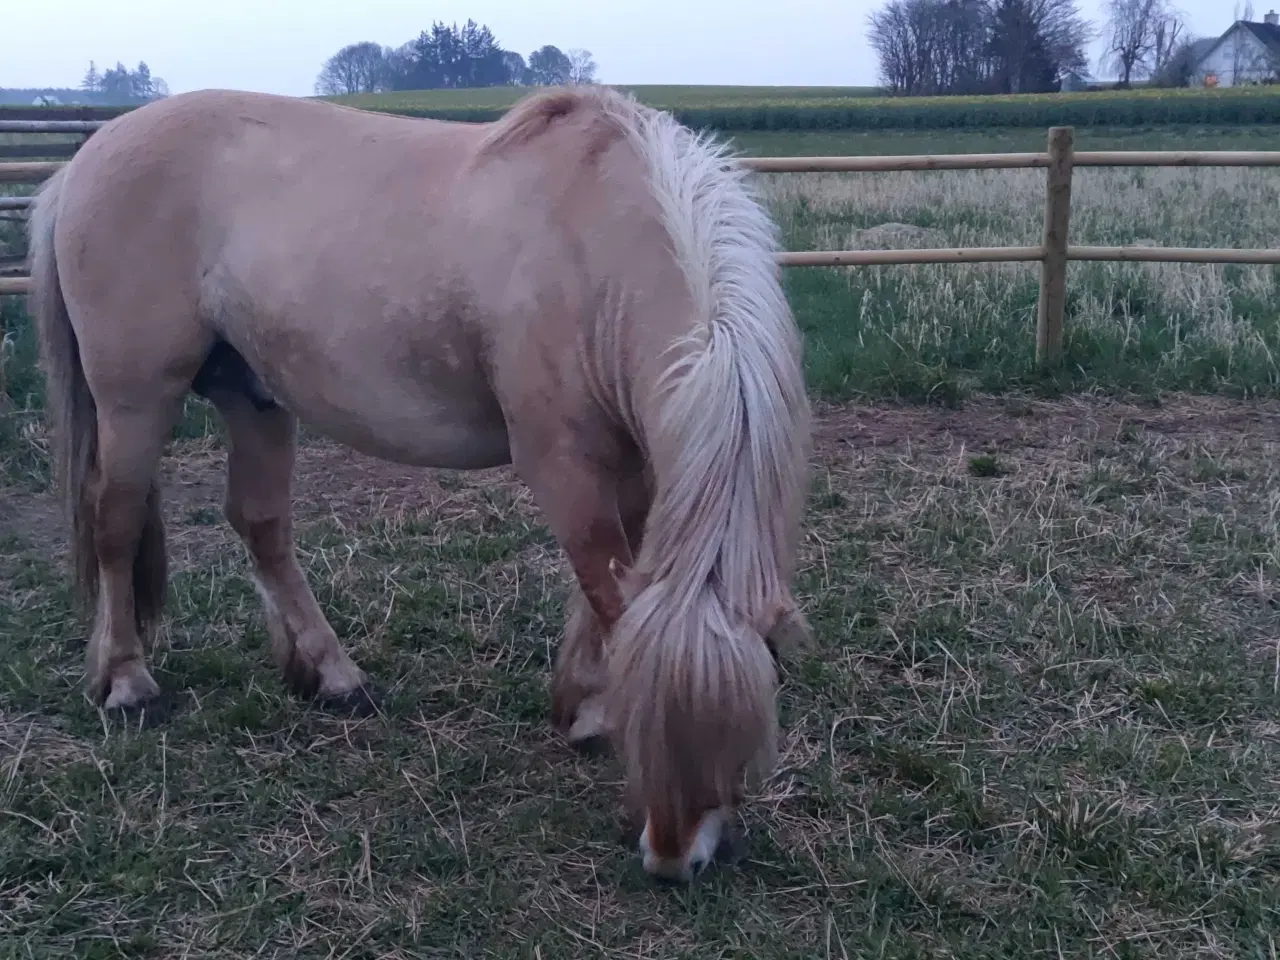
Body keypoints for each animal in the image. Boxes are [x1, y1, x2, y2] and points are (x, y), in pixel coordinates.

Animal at [27, 84, 813, 881]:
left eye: (740, 734)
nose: (674, 859)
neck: (596, 240)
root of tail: (83, 162)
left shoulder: (635, 465)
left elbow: (610, 597)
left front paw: (584, 708)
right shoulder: (564, 466)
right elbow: (603, 585)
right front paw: (593, 712)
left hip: (253, 397)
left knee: (260, 525)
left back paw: (332, 676)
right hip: (134, 399)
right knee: (115, 522)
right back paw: (128, 684)